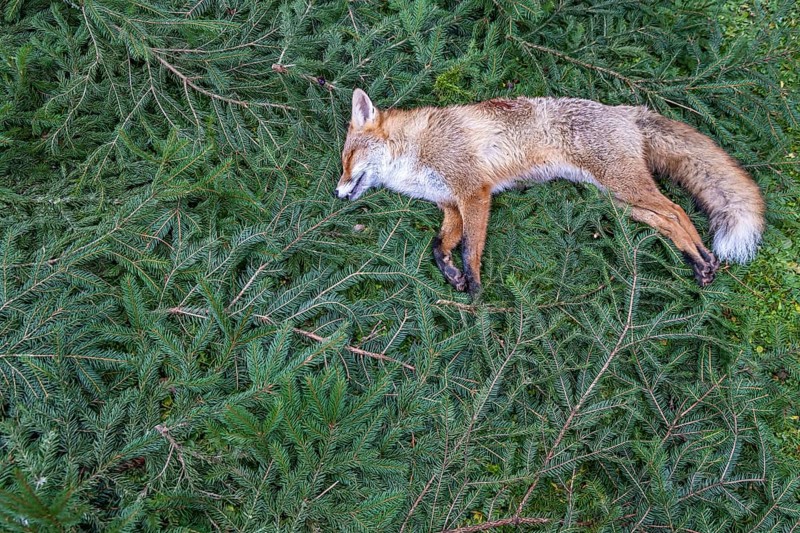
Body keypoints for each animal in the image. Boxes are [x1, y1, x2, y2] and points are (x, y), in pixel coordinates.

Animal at [335, 88, 765, 298]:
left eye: (348, 158)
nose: (338, 193)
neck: (415, 150)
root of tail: (625, 111)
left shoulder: (474, 192)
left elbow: (471, 247)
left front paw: (473, 286)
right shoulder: (451, 205)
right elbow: (439, 247)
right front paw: (452, 275)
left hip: (625, 187)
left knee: (677, 210)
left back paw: (703, 259)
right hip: (618, 200)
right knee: (666, 219)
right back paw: (699, 262)